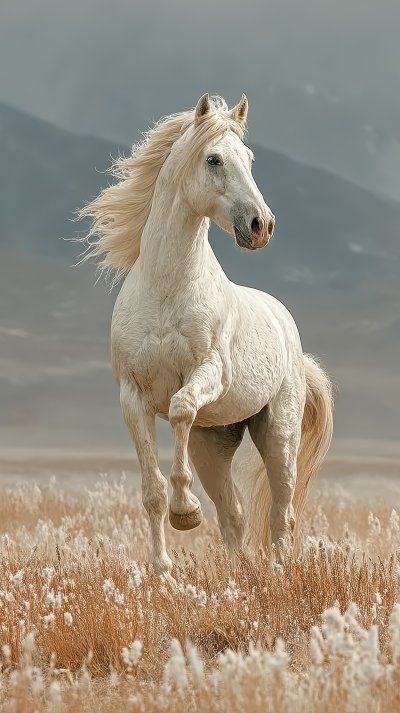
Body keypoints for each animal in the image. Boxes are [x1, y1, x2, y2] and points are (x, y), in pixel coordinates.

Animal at [79, 93, 333, 575]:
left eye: (249, 158)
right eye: (214, 159)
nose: (261, 225)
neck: (166, 289)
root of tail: (290, 335)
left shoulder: (207, 373)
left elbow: (180, 409)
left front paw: (186, 512)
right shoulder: (132, 399)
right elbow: (152, 491)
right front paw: (162, 569)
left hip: (279, 435)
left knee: (281, 512)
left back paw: (279, 573)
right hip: (213, 442)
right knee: (234, 516)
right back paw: (238, 574)